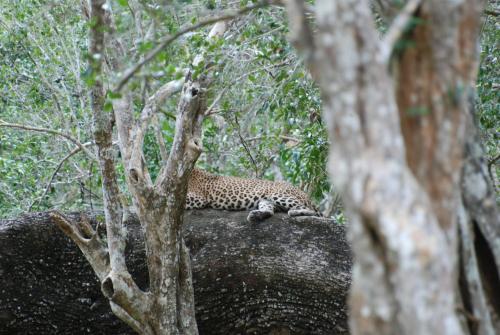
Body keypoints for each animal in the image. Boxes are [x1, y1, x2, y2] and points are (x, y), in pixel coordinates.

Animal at [185, 168, 320, 223]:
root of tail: (305, 194)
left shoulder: (199, 197)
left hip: (278, 194)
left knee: (312, 211)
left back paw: (294, 212)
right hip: (266, 200)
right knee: (270, 211)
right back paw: (255, 215)